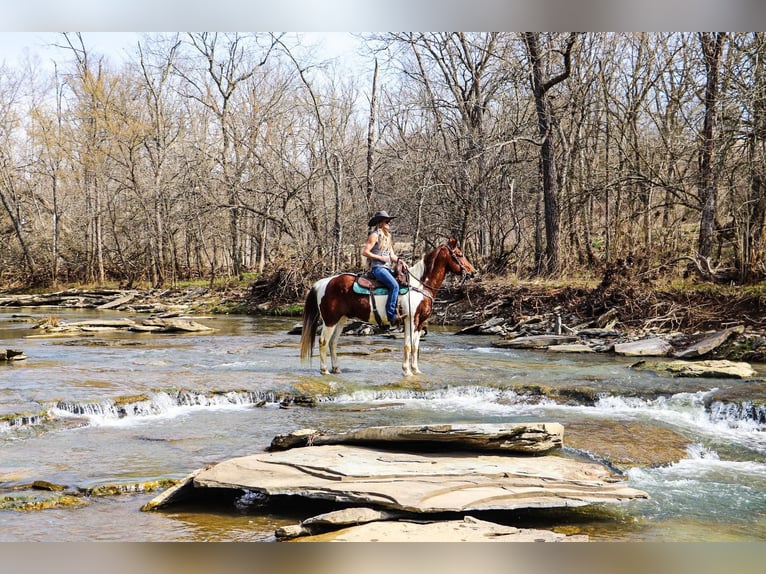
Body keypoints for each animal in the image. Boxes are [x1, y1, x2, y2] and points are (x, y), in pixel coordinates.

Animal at [298, 237, 474, 378]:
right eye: (459, 254)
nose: (473, 272)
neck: (420, 286)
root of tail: (324, 282)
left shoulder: (420, 322)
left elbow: (416, 346)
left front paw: (416, 370)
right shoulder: (410, 320)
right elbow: (408, 345)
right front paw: (407, 371)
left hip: (341, 319)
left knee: (333, 342)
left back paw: (336, 368)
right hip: (330, 320)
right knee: (323, 341)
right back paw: (324, 370)